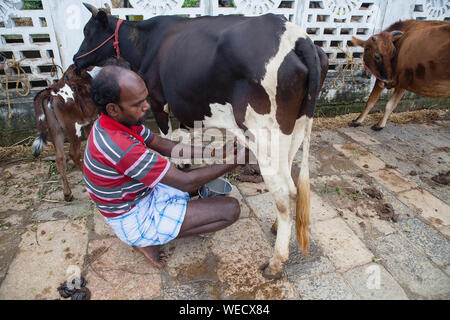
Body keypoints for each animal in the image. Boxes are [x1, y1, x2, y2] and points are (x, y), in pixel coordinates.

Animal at [33, 63, 100, 201]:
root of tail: (50, 91)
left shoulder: (89, 122)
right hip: (73, 128)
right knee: (73, 153)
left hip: (55, 129)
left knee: (59, 157)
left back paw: (67, 194)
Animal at [73, 3, 326, 278]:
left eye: (88, 31)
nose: (76, 60)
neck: (146, 42)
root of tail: (297, 36)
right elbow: (183, 138)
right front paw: (185, 162)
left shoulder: (157, 100)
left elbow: (168, 136)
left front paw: (177, 164)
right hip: (293, 131)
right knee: (291, 184)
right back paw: (277, 227)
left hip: (266, 134)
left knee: (284, 192)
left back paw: (275, 262)